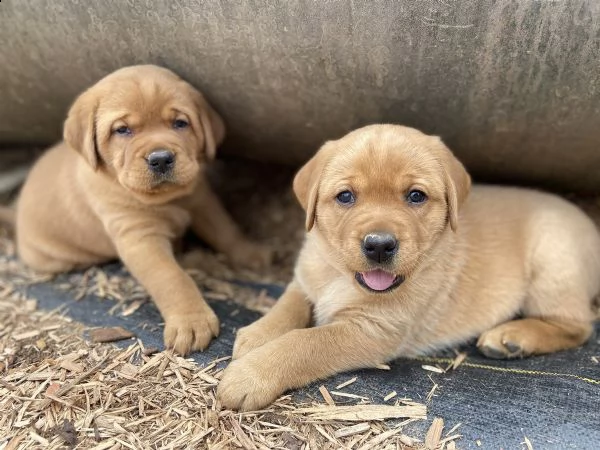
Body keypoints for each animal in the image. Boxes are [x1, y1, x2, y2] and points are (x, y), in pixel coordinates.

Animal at [1, 65, 270, 356]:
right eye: (122, 130)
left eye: (180, 123)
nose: (161, 158)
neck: (167, 200)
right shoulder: (140, 238)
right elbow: (171, 277)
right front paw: (191, 321)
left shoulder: (202, 201)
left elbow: (225, 230)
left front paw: (250, 253)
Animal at [218, 123, 600, 412]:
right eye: (345, 196)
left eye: (416, 196)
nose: (379, 245)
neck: (341, 276)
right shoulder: (307, 278)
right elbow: (289, 305)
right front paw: (258, 335)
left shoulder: (373, 329)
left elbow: (305, 342)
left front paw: (250, 374)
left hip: (553, 261)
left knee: (577, 327)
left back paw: (512, 338)